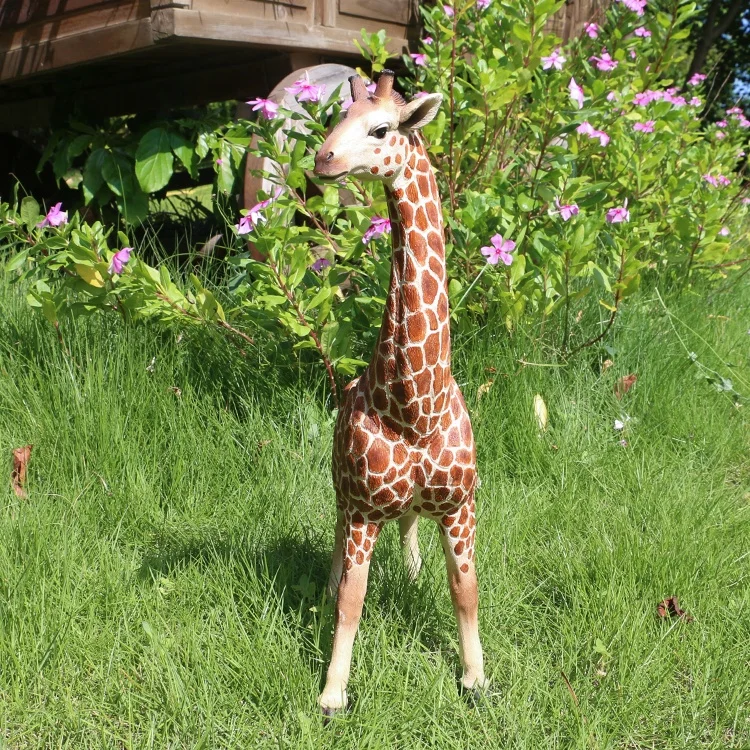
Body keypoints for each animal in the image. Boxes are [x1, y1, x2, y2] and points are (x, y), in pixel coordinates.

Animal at [313, 70, 487, 715]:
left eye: (381, 128)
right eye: (336, 119)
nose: (323, 159)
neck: (414, 407)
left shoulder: (459, 507)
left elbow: (466, 590)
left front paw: (475, 678)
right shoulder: (365, 508)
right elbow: (352, 600)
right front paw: (333, 692)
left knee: (409, 523)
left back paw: (411, 571)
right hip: (342, 490)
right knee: (337, 548)